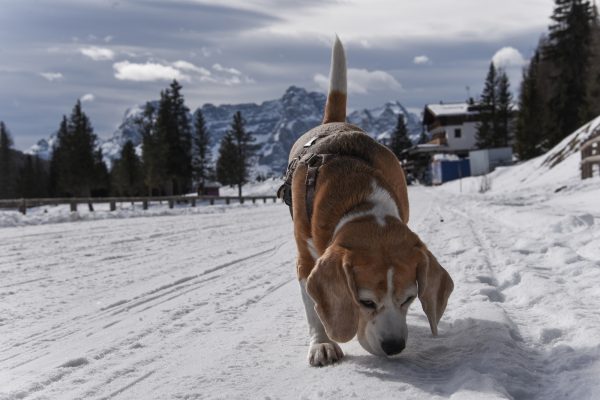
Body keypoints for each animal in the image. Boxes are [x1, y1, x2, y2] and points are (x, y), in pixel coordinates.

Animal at [278, 36, 452, 366]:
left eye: (409, 298)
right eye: (366, 302)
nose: (394, 347)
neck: (360, 202)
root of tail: (333, 123)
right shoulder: (305, 261)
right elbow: (313, 309)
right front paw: (322, 344)